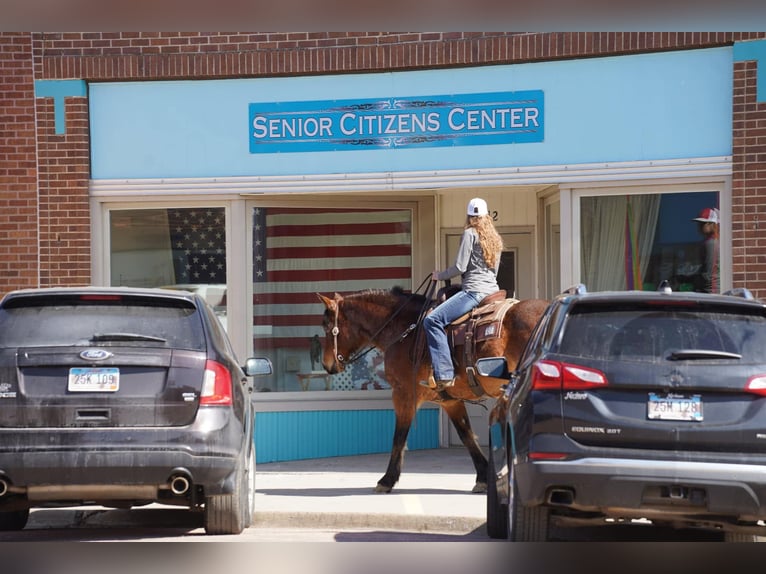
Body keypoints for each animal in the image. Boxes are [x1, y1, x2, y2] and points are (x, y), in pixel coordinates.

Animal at [320, 288, 552, 496]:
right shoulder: (450, 401)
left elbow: (399, 437)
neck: (405, 331)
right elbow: (466, 435)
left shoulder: (403, 394)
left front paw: (387, 480)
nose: (326, 364)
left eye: (327, 327)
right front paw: (483, 478)